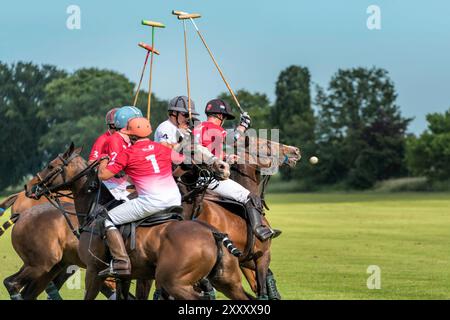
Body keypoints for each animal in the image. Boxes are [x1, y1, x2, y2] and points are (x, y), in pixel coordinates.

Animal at [25, 145, 253, 300]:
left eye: (50, 165)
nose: (30, 187)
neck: (94, 205)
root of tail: (214, 233)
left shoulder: (93, 270)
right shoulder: (125, 277)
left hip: (175, 281)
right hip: (227, 280)